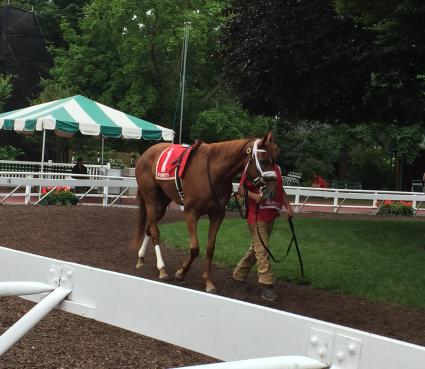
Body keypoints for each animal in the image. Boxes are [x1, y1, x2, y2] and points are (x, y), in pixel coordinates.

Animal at [132, 131, 278, 292]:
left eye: (275, 160)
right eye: (263, 160)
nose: (272, 192)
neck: (214, 172)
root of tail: (145, 154)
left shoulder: (217, 215)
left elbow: (210, 248)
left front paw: (208, 281)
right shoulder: (191, 213)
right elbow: (195, 248)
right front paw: (181, 273)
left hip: (163, 202)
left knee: (149, 228)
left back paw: (141, 258)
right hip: (151, 199)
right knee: (155, 231)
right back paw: (162, 269)